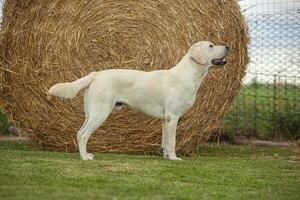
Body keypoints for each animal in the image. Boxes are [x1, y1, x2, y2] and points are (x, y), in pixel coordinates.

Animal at [48, 41, 229, 161]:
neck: (187, 75)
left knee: (80, 132)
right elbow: (172, 140)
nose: (228, 46)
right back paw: (85, 157)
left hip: (91, 112)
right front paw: (174, 158)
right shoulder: (173, 117)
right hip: (101, 112)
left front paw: (166, 157)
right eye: (211, 46)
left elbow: (165, 141)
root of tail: (96, 74)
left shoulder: (165, 119)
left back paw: (85, 154)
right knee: (83, 134)